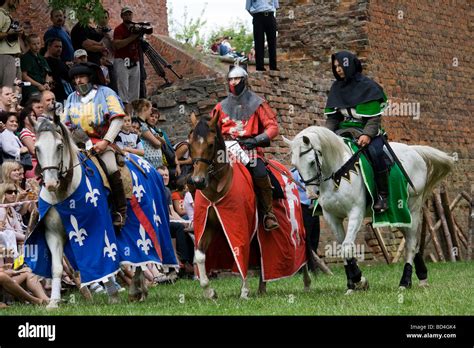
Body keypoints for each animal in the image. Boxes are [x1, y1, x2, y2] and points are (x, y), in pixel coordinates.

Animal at [189, 112, 312, 300]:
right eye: (190, 145)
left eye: (210, 144)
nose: (198, 181)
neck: (217, 187)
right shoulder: (208, 225)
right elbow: (200, 255)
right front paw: (209, 291)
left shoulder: (240, 225)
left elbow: (240, 252)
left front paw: (244, 291)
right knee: (261, 255)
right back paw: (262, 287)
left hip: (295, 225)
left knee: (301, 249)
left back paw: (306, 284)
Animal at [284, 126, 454, 292]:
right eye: (295, 165)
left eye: (312, 162)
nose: (311, 194)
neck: (338, 175)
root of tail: (414, 152)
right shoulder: (332, 217)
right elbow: (342, 248)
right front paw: (352, 285)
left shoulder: (355, 213)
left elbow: (347, 247)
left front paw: (359, 281)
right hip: (398, 216)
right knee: (412, 241)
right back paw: (422, 277)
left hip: (411, 208)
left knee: (411, 243)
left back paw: (405, 282)